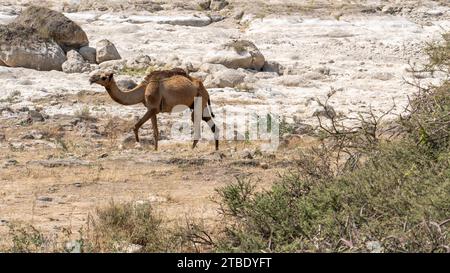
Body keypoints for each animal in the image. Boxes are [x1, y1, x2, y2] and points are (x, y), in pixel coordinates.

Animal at [89, 67, 219, 150]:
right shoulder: (153, 110)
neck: (143, 90)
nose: (91, 79)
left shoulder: (152, 108)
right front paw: (155, 149)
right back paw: (216, 149)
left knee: (197, 122)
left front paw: (138, 144)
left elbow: (135, 126)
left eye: (103, 77)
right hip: (200, 104)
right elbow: (155, 132)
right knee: (211, 124)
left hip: (199, 101)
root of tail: (205, 89)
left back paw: (192, 148)